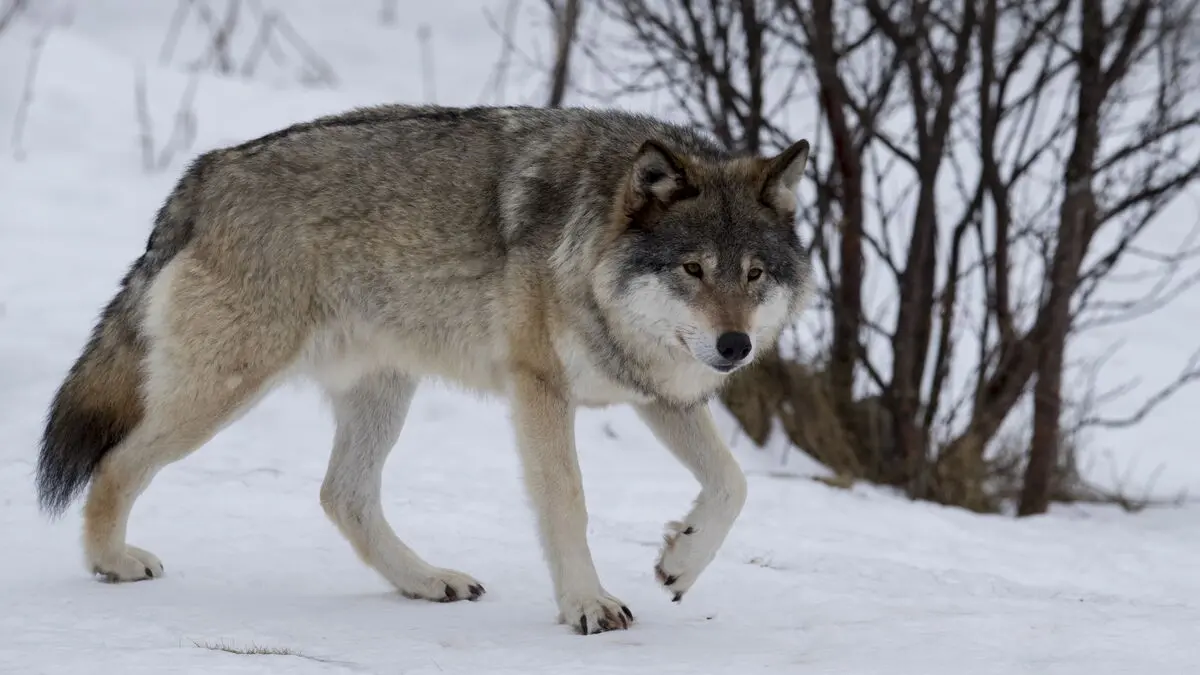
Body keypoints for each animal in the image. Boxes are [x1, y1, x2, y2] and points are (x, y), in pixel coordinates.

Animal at [36, 104, 812, 635]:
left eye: (754, 273)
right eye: (693, 269)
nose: (735, 346)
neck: (588, 249)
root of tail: (206, 170)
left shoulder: (662, 396)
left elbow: (733, 484)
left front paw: (681, 559)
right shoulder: (540, 389)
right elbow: (569, 503)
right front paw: (587, 604)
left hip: (381, 390)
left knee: (341, 496)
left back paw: (427, 580)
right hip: (227, 387)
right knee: (117, 463)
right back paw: (111, 561)